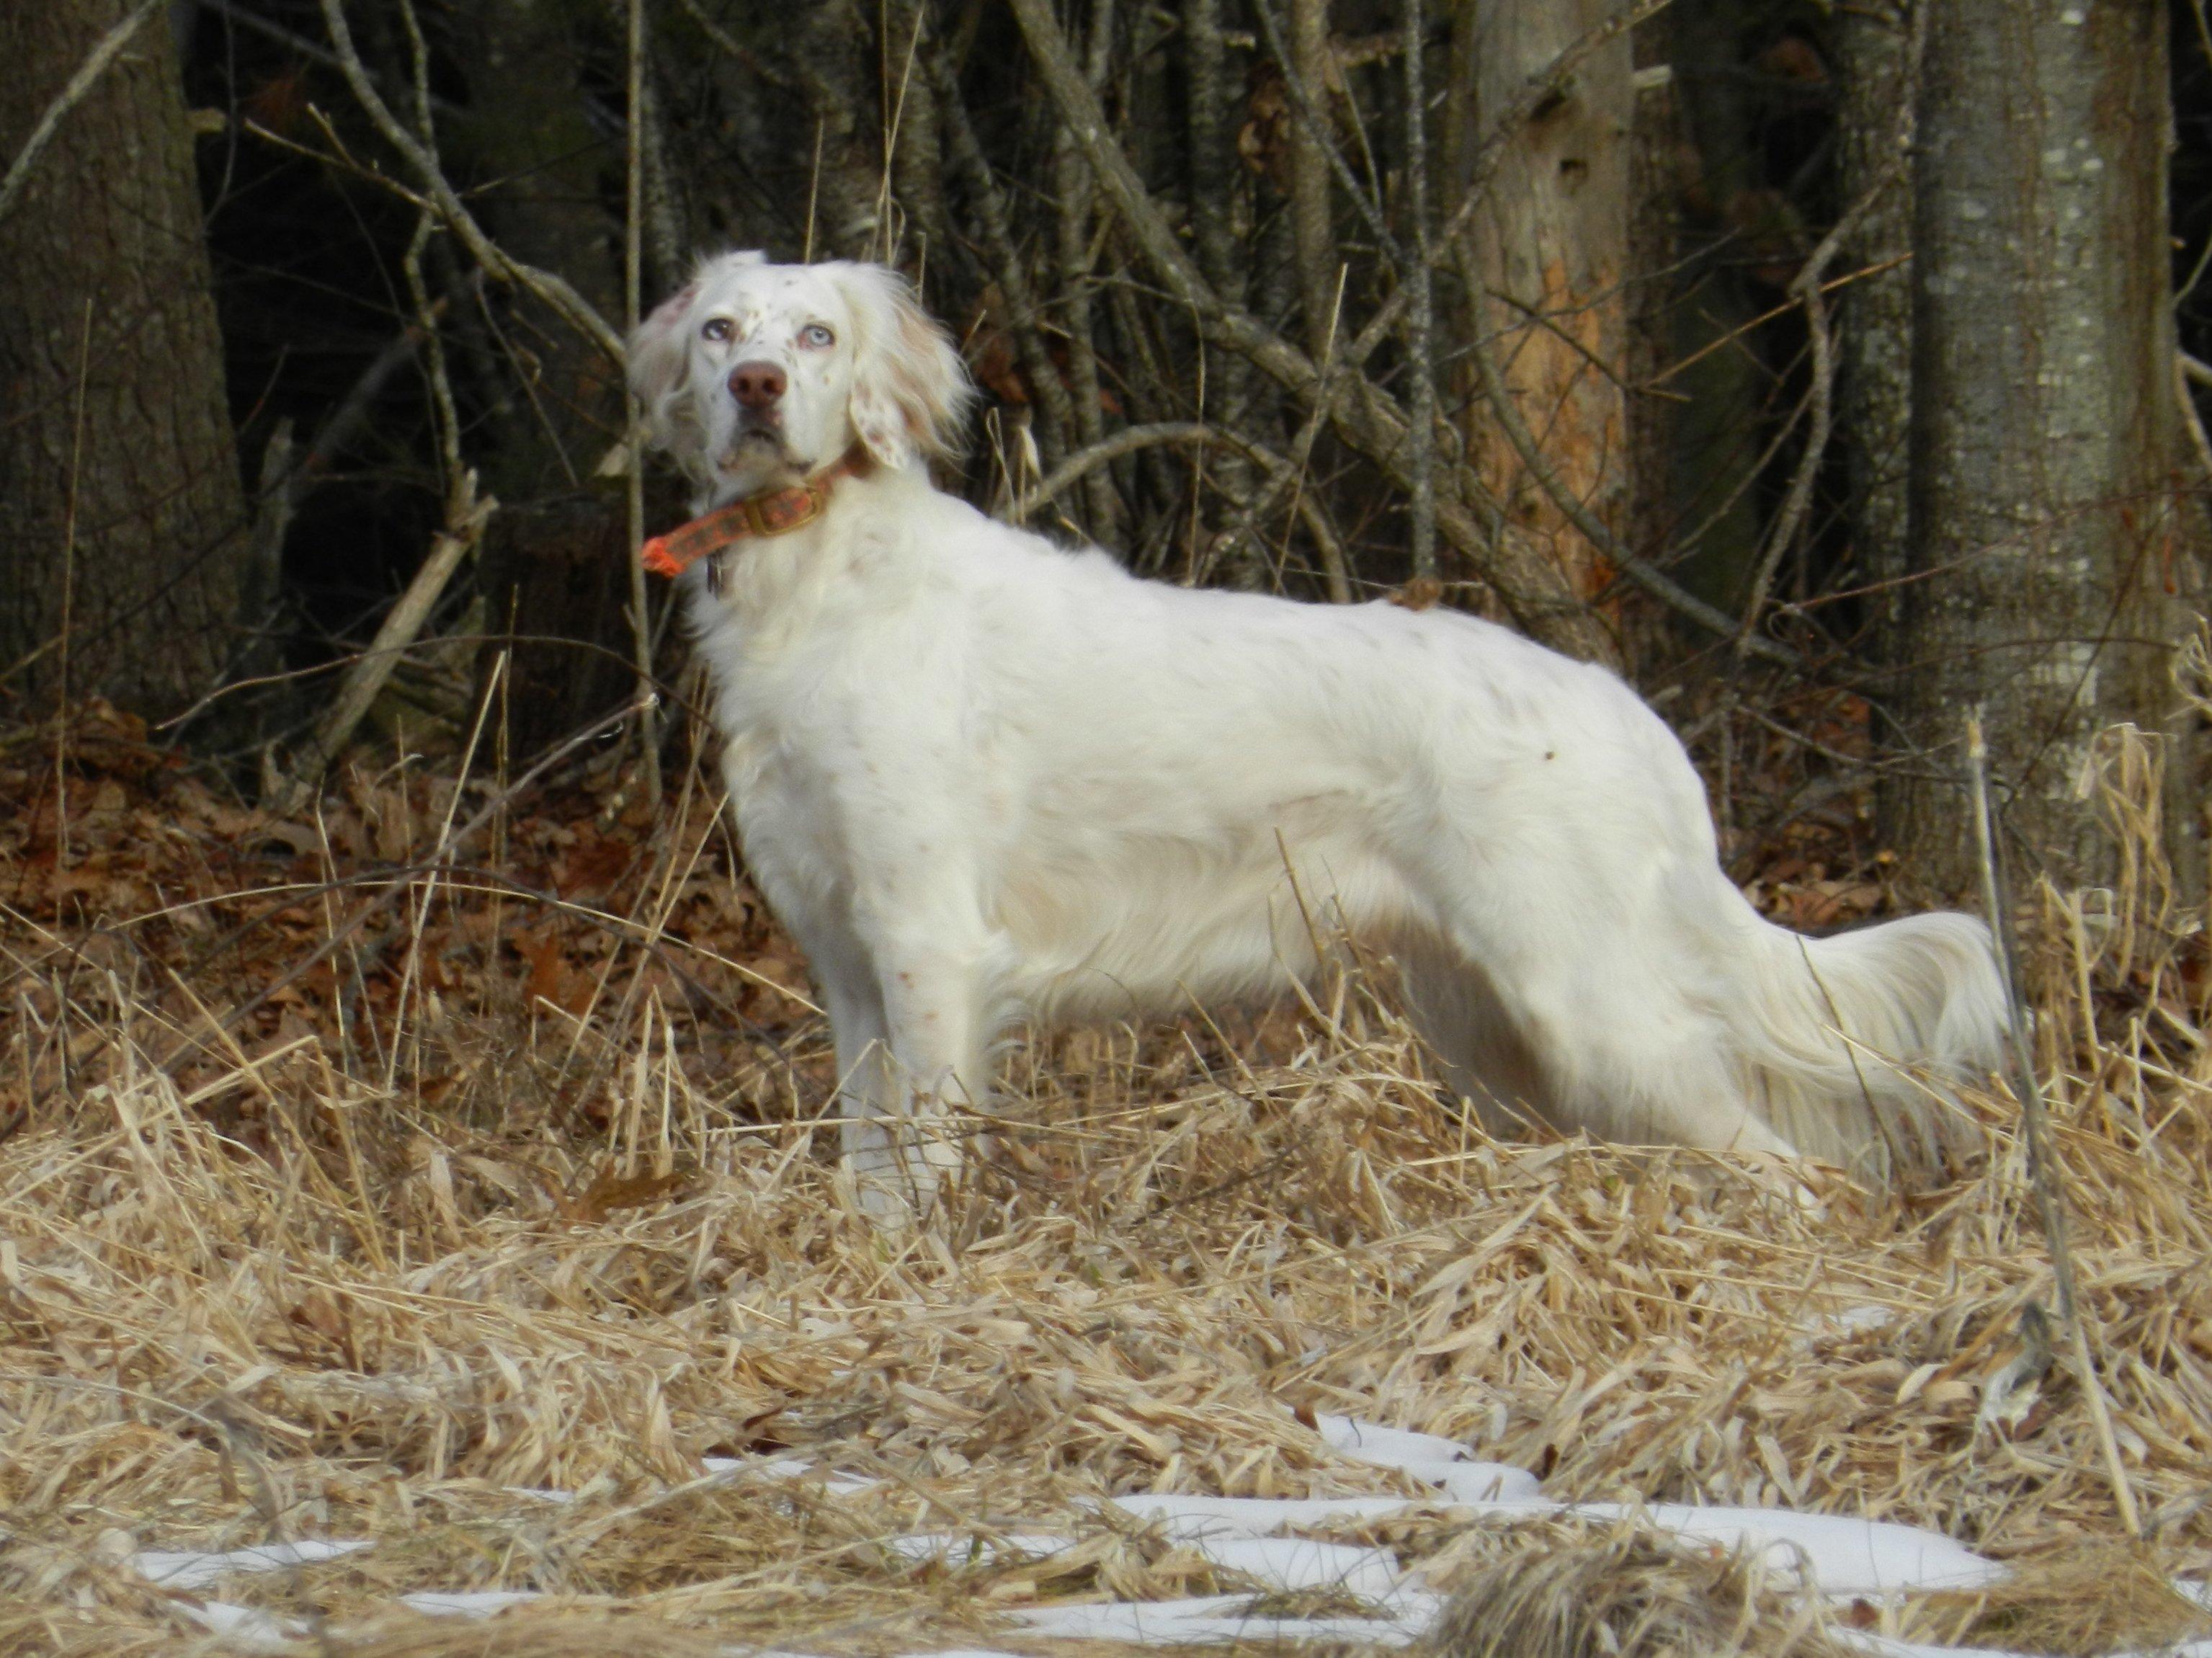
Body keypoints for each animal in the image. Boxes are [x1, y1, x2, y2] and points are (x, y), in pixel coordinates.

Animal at [623, 249, 2008, 1211]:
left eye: (817, 334)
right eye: (720, 329)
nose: (755, 389)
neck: (820, 582)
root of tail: (1624, 713)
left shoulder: (928, 945)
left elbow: (925, 1155)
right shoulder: (848, 963)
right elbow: (870, 1165)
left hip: (1595, 1009)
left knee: (1794, 1171)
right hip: (1494, 1027)